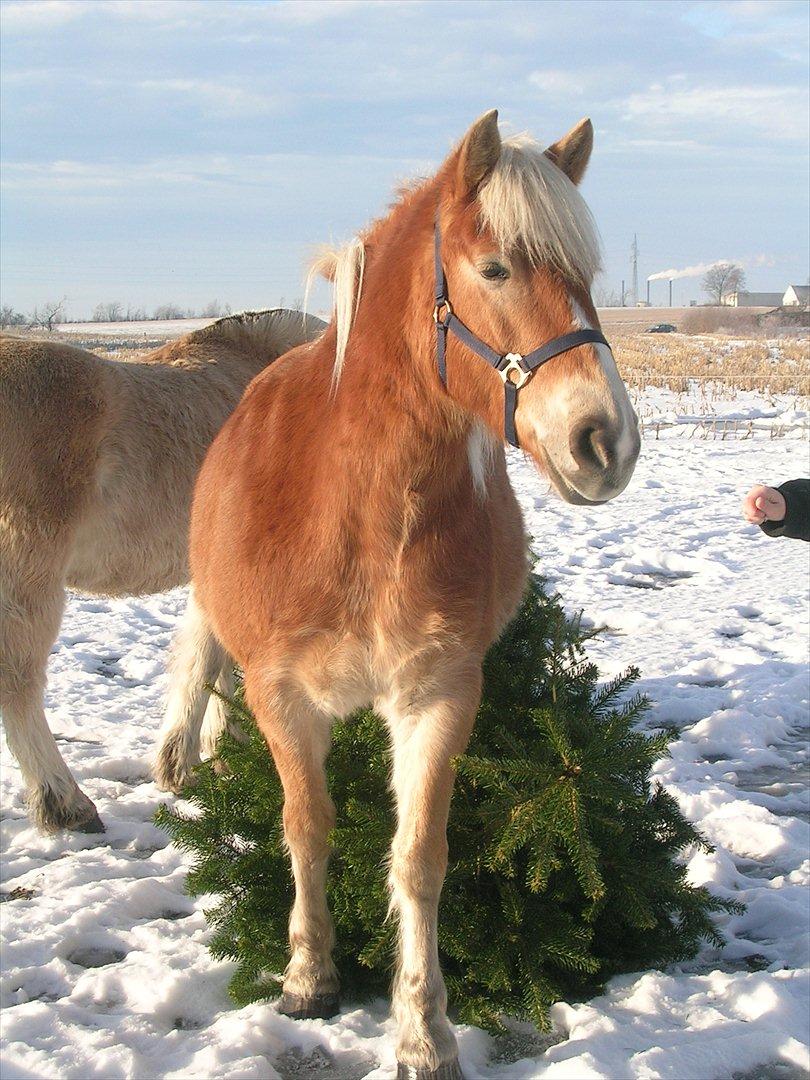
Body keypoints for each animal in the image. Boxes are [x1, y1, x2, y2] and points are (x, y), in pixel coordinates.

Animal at [158, 113, 639, 1075]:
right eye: (495, 269)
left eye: (588, 278)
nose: (606, 441)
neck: (361, 515)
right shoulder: (282, 695)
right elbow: (307, 827)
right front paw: (309, 976)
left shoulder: (439, 696)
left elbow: (418, 859)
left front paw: (423, 1028)